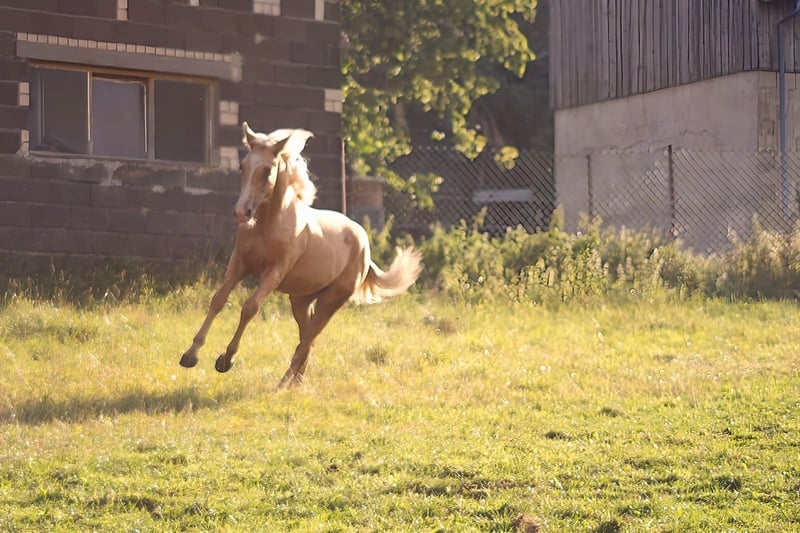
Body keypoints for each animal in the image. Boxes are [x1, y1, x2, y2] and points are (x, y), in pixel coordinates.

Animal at [179, 122, 423, 389]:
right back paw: (294, 383)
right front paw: (190, 355)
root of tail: (364, 248)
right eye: (242, 166)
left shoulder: (274, 272)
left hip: (331, 301)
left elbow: (250, 307)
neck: (268, 224)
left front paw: (226, 360)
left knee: (307, 341)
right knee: (307, 339)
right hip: (301, 302)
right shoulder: (238, 264)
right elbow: (218, 300)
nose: (242, 212)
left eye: (267, 170)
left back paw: (281, 387)